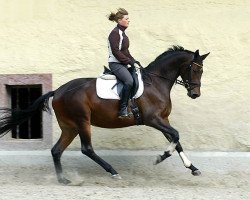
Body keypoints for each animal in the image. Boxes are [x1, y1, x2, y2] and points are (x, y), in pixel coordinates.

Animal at [0, 45, 209, 184]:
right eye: (194, 68)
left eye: (202, 70)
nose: (195, 94)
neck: (156, 83)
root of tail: (58, 91)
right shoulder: (153, 119)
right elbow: (175, 135)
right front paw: (160, 157)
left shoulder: (163, 119)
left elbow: (176, 140)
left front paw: (193, 168)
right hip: (82, 121)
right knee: (87, 149)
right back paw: (113, 171)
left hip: (69, 127)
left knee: (57, 150)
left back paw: (63, 179)